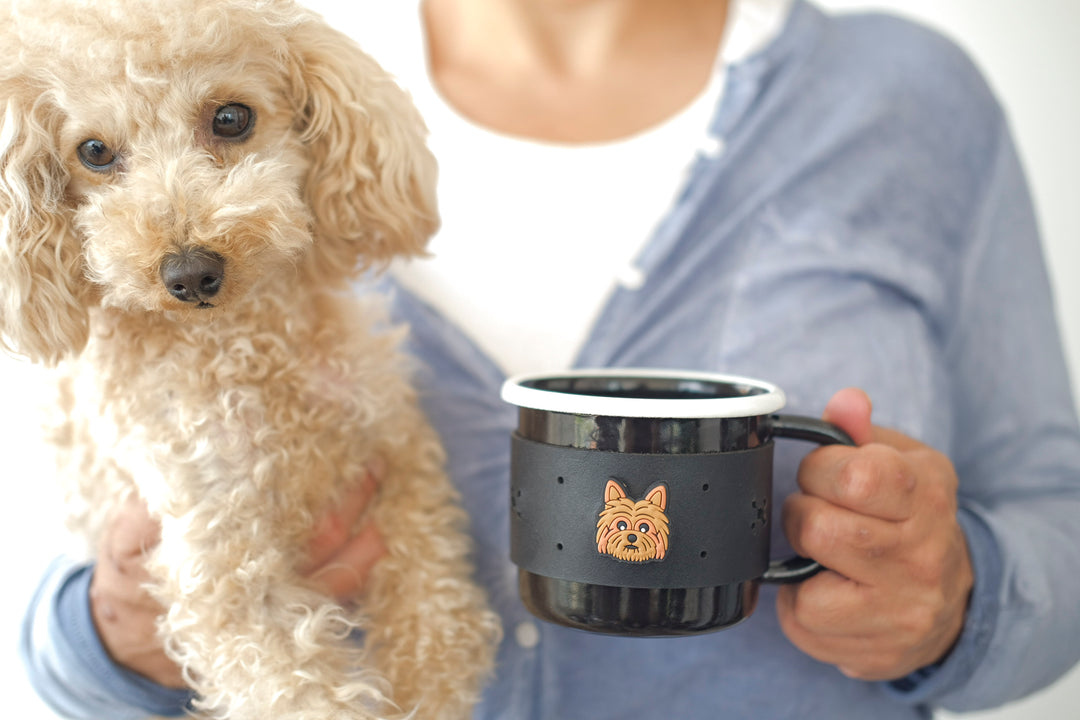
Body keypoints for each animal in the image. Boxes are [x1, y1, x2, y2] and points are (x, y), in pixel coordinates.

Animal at [0, 0, 503, 716]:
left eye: (231, 117)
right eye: (93, 152)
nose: (189, 273)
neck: (247, 351)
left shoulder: (396, 456)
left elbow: (430, 596)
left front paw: (428, 685)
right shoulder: (220, 557)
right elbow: (292, 684)